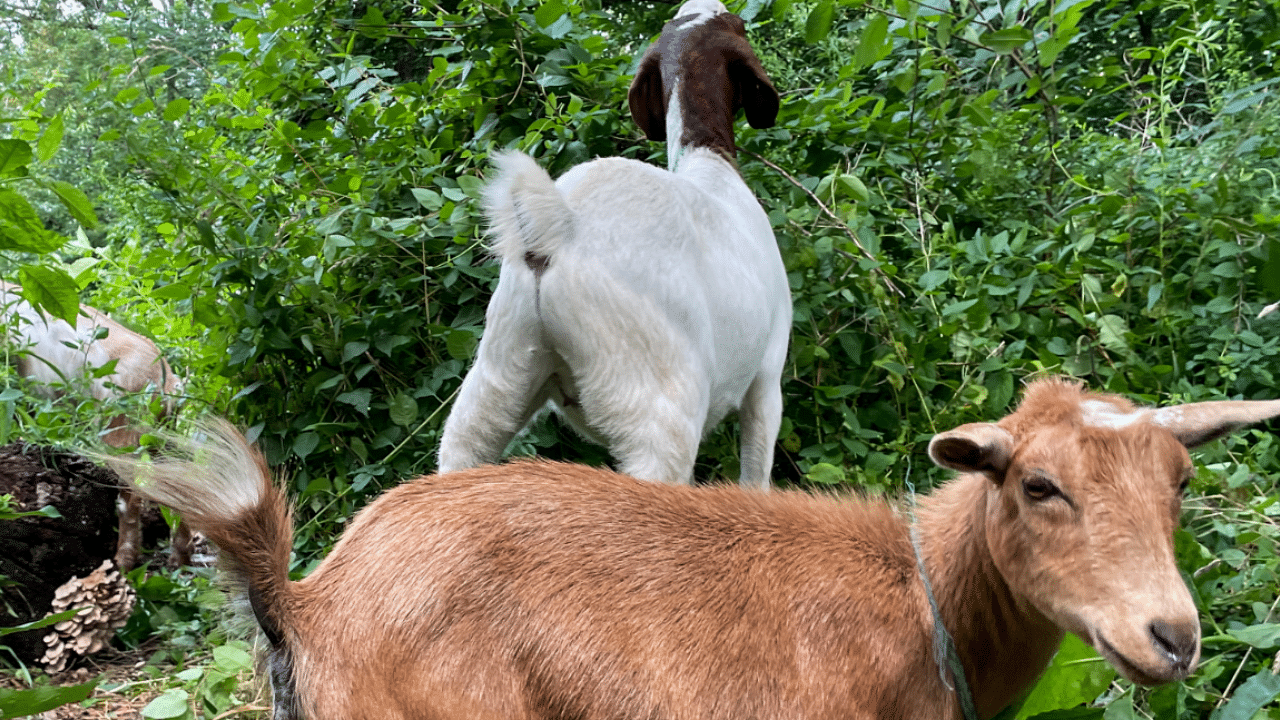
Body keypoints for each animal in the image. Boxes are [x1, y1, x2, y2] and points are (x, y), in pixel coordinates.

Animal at [0, 280, 188, 566]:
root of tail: (168, 381)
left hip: (121, 437)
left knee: (130, 501)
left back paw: (124, 562)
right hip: (158, 438)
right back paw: (181, 558)